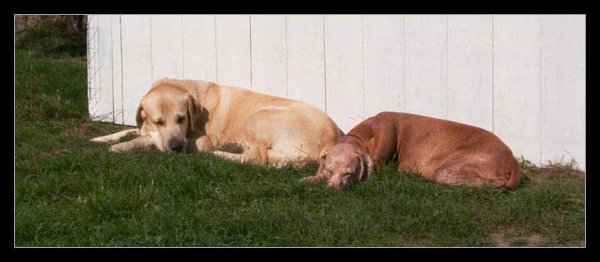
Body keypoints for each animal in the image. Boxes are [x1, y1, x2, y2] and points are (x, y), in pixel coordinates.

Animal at [89, 78, 342, 166]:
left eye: (181, 118)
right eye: (158, 121)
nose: (176, 147)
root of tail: (333, 139)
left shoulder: (200, 142)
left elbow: (146, 140)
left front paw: (122, 146)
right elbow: (131, 131)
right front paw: (103, 138)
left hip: (257, 117)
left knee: (257, 158)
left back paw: (222, 154)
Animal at [302, 111, 524, 189]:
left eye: (349, 173)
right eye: (329, 170)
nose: (333, 189)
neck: (363, 136)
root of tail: (513, 161)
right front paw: (310, 178)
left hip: (447, 169)